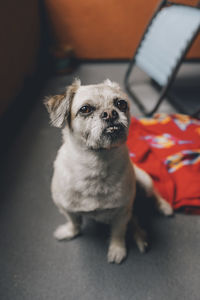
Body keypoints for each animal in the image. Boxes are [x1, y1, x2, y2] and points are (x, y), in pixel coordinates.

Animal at [44, 79, 173, 262]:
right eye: (85, 109)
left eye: (121, 104)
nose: (110, 113)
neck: (96, 164)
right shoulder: (66, 208)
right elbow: (74, 222)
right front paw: (70, 232)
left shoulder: (121, 213)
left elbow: (118, 232)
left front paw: (117, 249)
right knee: (133, 219)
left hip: (145, 183)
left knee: (153, 195)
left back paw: (162, 208)